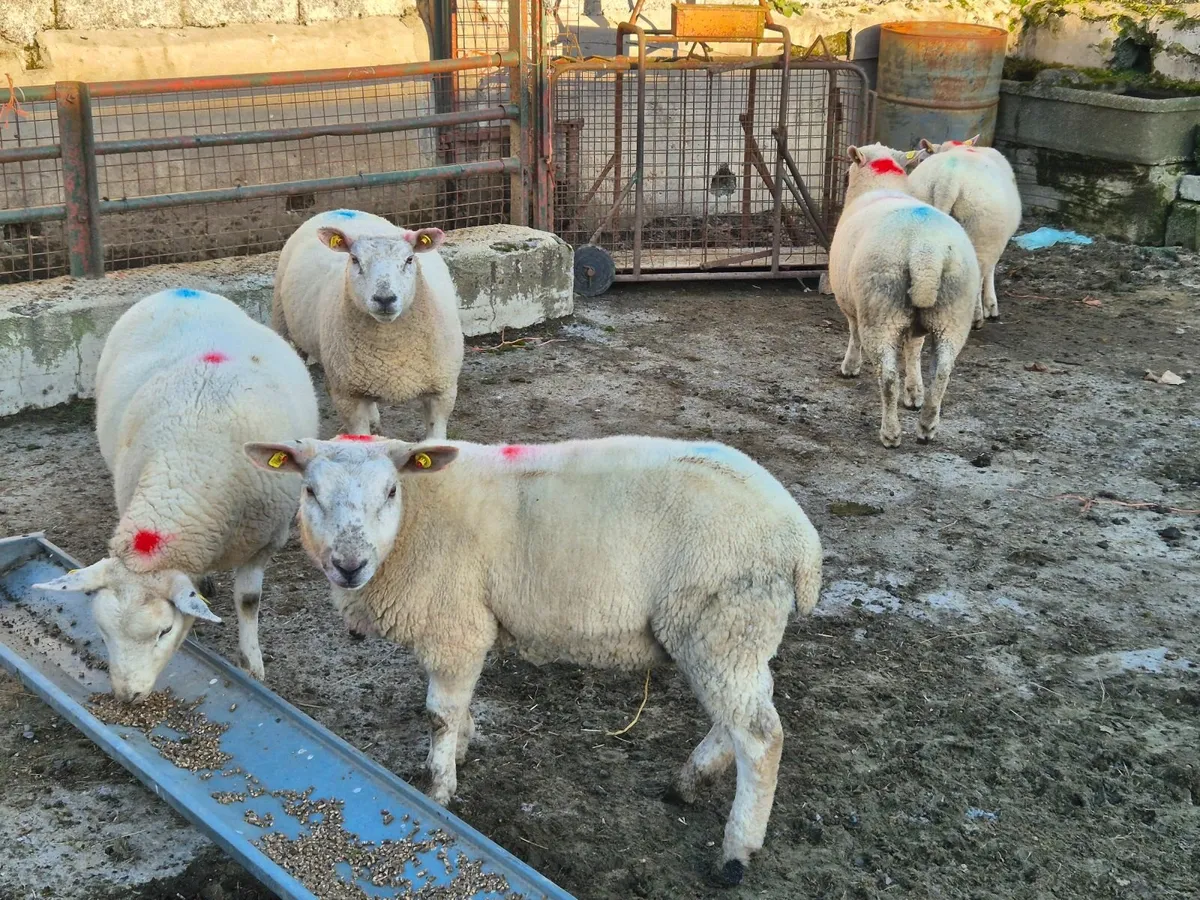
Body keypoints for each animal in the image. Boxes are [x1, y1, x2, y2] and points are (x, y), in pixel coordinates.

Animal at [33, 288, 318, 702]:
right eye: (102, 632)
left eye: (164, 632)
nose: (127, 696)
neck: (190, 467)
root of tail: (179, 290)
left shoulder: (265, 540)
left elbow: (248, 602)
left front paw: (252, 663)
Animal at [244, 433, 823, 886]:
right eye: (310, 491)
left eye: (390, 491)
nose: (349, 565)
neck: (416, 517)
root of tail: (801, 540)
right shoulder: (458, 629)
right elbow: (457, 708)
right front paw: (463, 746)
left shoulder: (455, 626)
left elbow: (438, 715)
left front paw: (439, 786)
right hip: (735, 633)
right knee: (744, 715)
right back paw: (690, 781)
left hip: (723, 622)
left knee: (761, 737)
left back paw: (735, 854)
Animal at [272, 209, 464, 439]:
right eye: (355, 260)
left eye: (409, 259)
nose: (384, 298)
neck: (391, 348)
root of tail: (337, 211)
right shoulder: (348, 396)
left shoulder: (443, 392)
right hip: (284, 322)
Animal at [828, 143, 980, 447]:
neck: (880, 185)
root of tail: (925, 251)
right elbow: (913, 350)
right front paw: (914, 393)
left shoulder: (851, 303)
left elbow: (853, 333)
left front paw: (850, 366)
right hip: (952, 313)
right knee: (942, 372)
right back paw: (927, 426)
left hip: (880, 309)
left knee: (887, 377)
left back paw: (890, 432)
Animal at [905, 134, 1022, 325]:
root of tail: (947, 181)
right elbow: (990, 271)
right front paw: (991, 306)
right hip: (982, 233)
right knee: (978, 272)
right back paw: (975, 317)